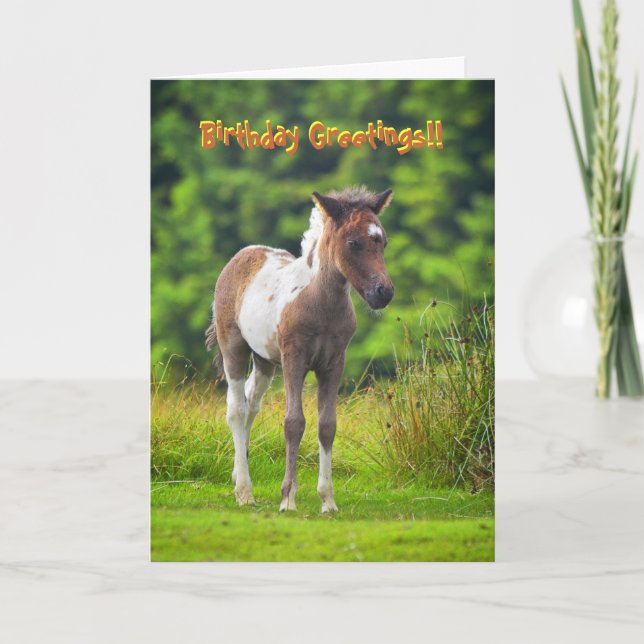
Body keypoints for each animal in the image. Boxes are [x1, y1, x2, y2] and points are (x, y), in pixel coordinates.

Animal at [205, 186, 394, 512]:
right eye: (353, 243)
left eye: (382, 240)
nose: (383, 292)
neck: (320, 303)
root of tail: (242, 254)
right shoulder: (294, 360)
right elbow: (294, 422)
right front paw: (287, 499)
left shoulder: (333, 363)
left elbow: (327, 425)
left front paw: (328, 501)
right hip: (234, 348)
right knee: (237, 409)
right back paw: (244, 491)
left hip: (265, 360)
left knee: (251, 405)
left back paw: (238, 473)